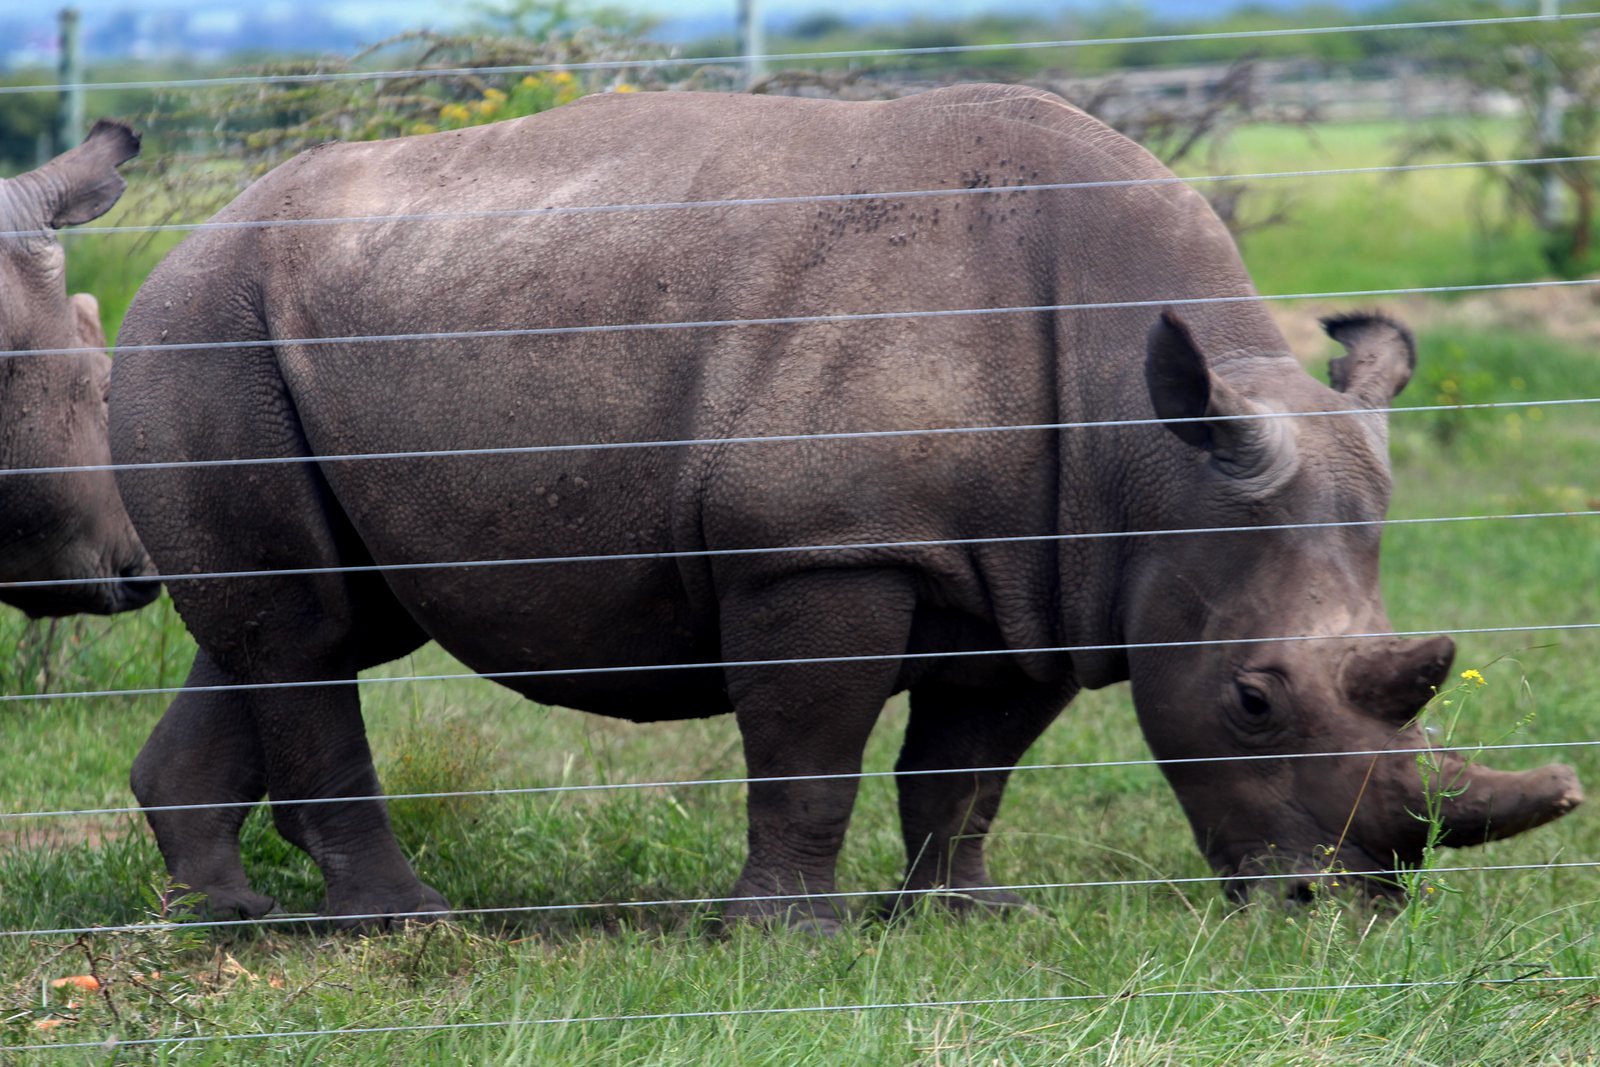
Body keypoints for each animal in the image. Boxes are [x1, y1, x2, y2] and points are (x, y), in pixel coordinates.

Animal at [110, 85, 1580, 929]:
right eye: (1255, 697)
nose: (1339, 908)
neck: (1145, 444)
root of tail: (182, 239)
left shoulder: (1044, 568)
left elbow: (967, 763)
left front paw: (963, 916)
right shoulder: (819, 546)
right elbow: (810, 746)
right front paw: (784, 937)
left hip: (313, 324)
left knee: (302, 626)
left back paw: (226, 914)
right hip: (206, 330)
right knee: (305, 633)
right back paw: (400, 926)